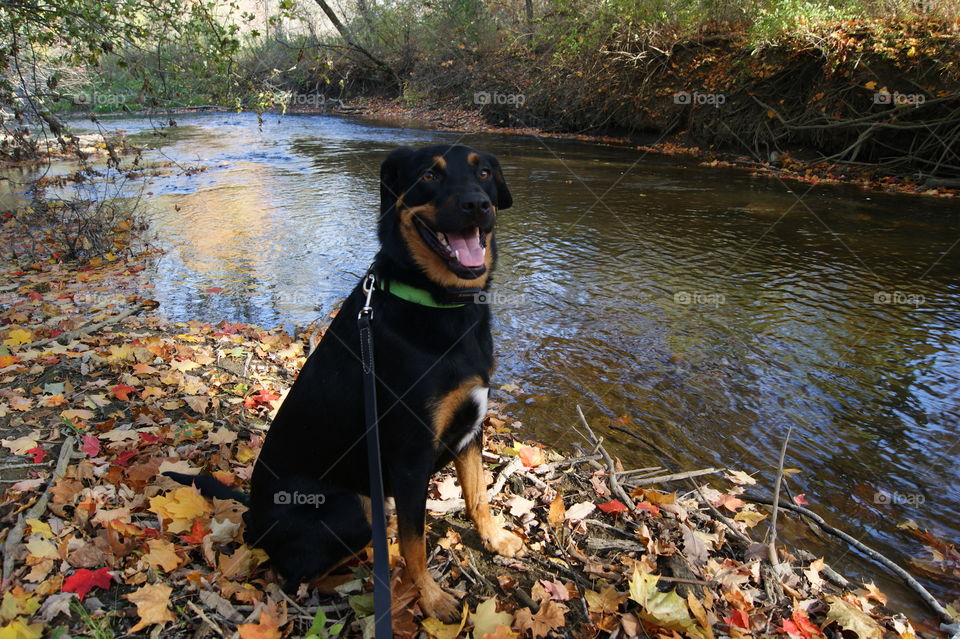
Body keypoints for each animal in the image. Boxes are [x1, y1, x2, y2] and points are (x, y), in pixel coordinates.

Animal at [169, 144, 520, 620]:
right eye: (429, 175)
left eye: (483, 172)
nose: (477, 205)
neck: (440, 304)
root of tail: (253, 517)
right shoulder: (411, 458)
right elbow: (416, 543)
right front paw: (430, 597)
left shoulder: (470, 430)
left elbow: (478, 496)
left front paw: (495, 538)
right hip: (352, 507)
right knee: (299, 573)